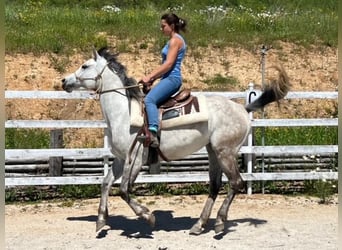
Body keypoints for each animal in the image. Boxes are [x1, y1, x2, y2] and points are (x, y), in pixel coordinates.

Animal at [62, 47, 292, 234]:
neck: (124, 112)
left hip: (225, 151)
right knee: (215, 186)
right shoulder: (120, 159)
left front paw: (147, 215)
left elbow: (124, 191)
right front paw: (101, 220)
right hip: (213, 152)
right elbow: (105, 184)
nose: (64, 81)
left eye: (85, 65)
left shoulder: (134, 160)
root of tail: (243, 109)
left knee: (236, 183)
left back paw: (219, 222)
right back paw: (199, 225)